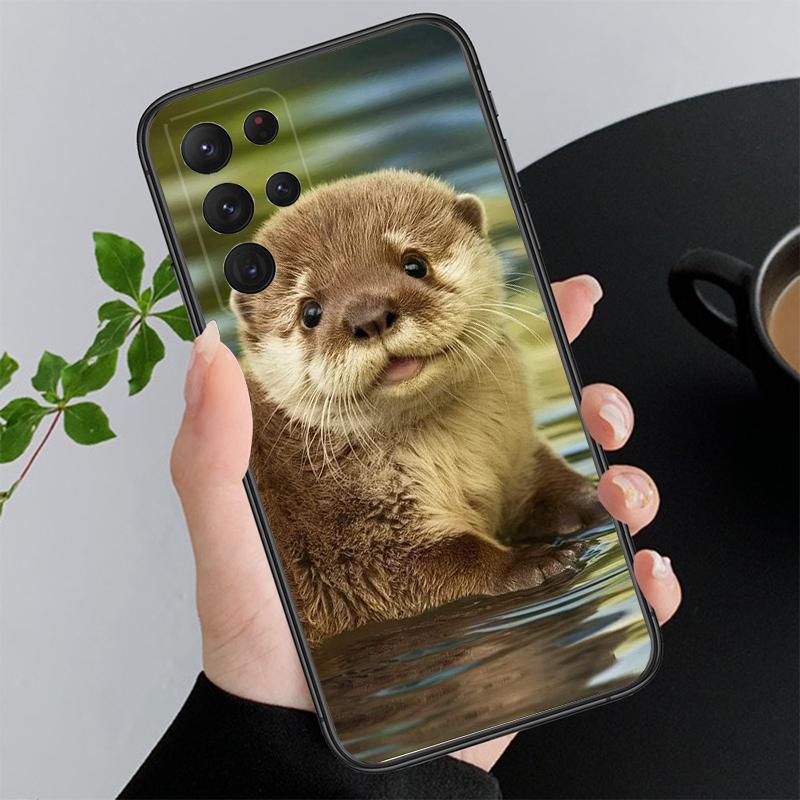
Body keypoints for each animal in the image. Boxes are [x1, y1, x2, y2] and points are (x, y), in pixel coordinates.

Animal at [232, 170, 607, 647]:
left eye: (414, 263)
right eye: (309, 311)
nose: (370, 316)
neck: (454, 458)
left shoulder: (517, 457)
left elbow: (555, 488)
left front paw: (601, 499)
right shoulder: (352, 545)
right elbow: (430, 566)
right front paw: (535, 562)